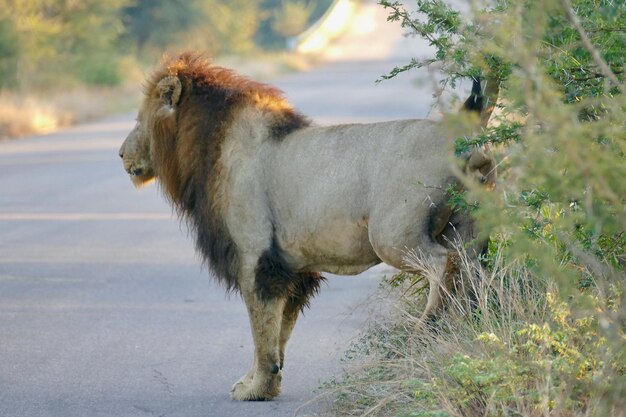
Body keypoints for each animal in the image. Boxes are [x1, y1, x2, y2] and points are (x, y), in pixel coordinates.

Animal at [119, 52, 494, 400]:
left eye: (139, 119)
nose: (121, 153)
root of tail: (463, 129)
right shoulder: (290, 268)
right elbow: (280, 330)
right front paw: (264, 383)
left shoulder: (255, 257)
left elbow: (261, 331)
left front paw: (255, 388)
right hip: (469, 233)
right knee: (474, 273)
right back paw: (473, 324)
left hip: (391, 235)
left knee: (443, 263)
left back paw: (424, 331)